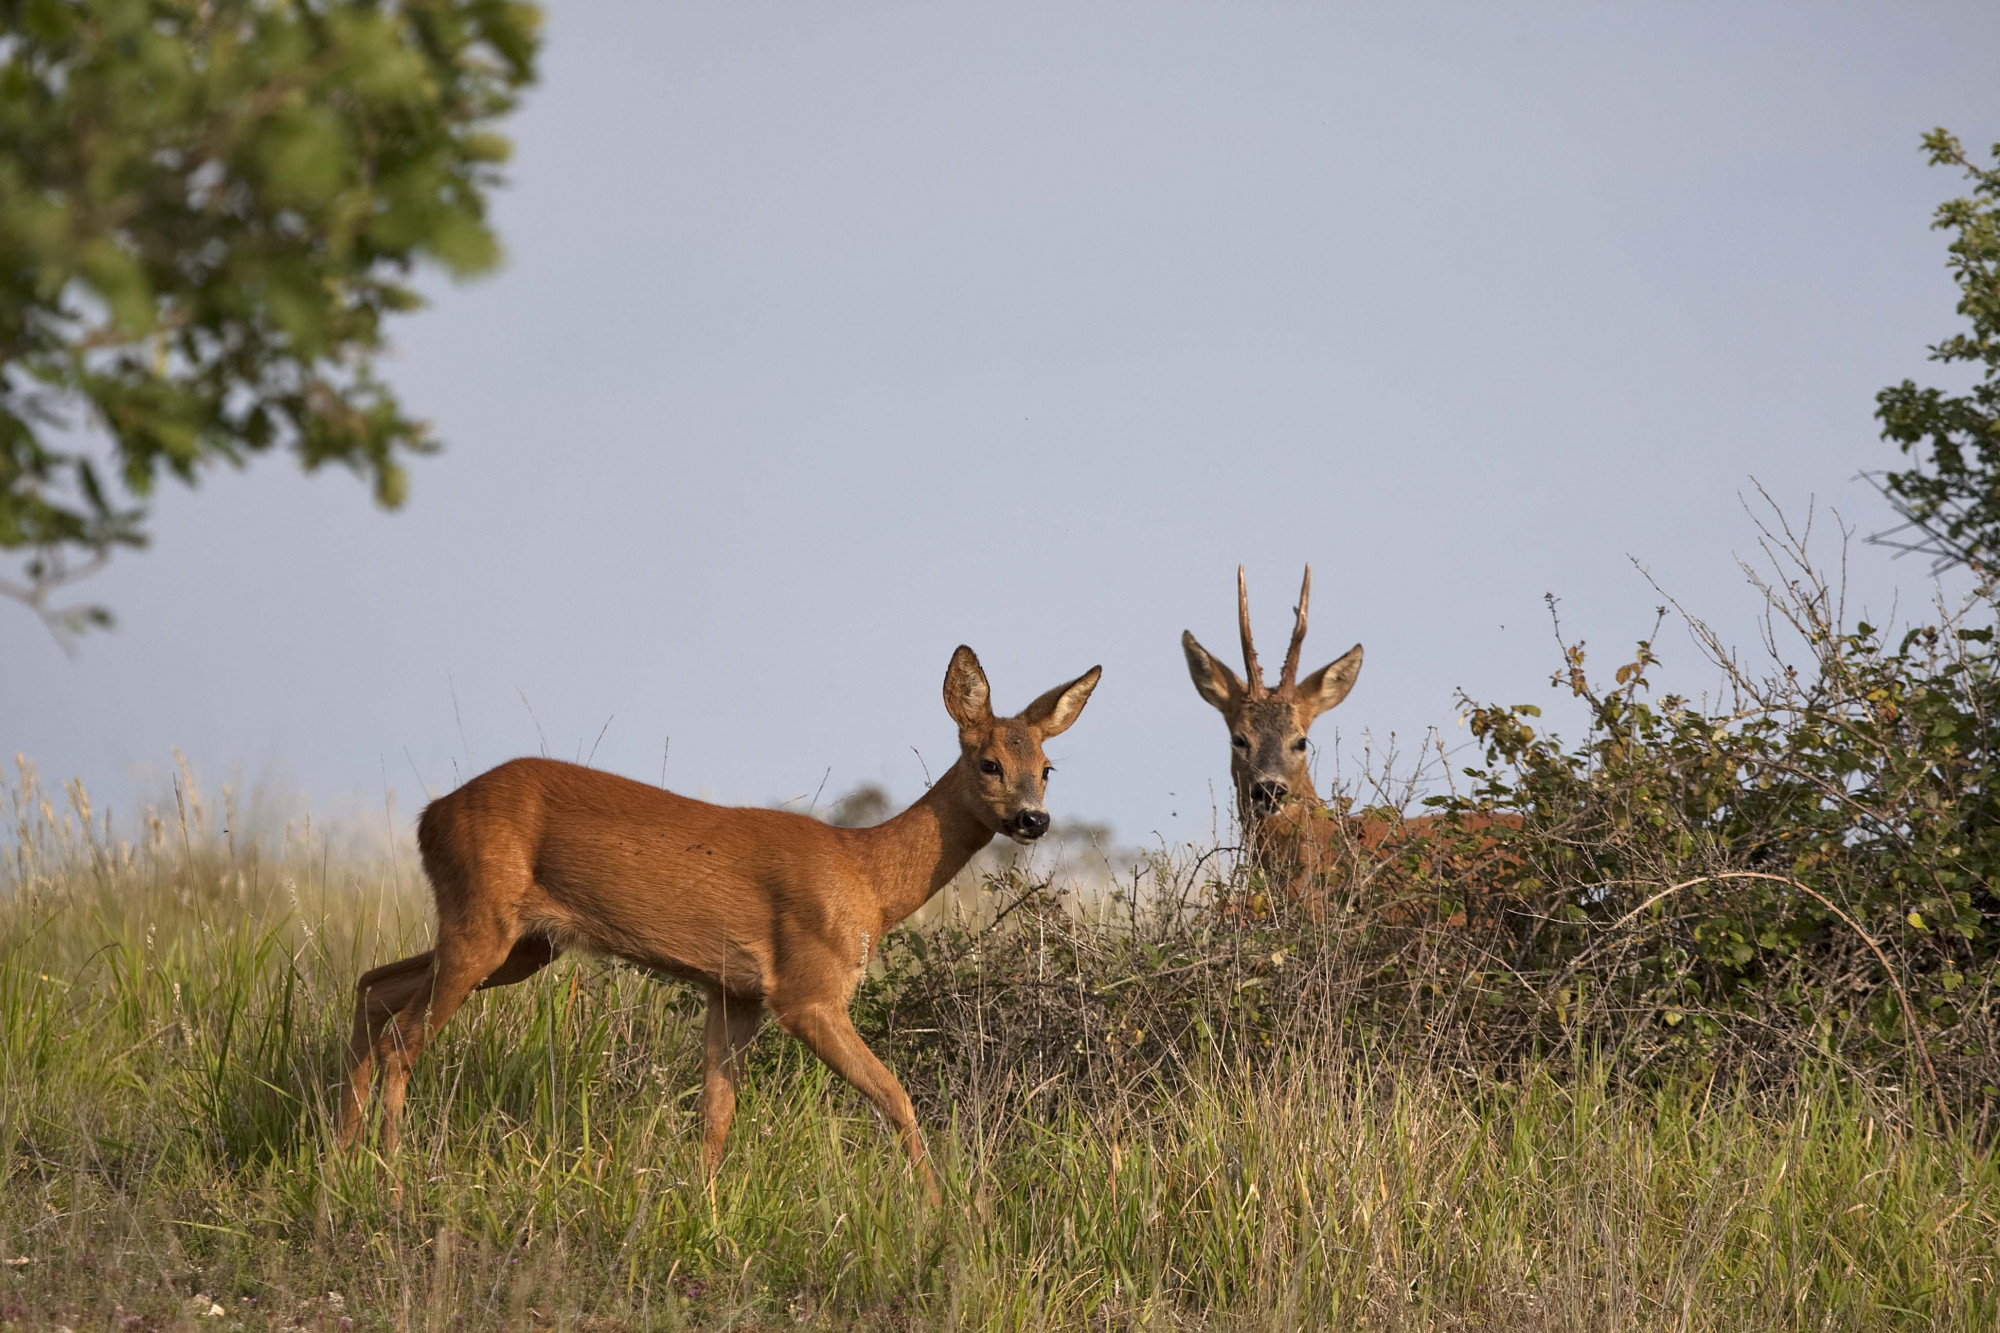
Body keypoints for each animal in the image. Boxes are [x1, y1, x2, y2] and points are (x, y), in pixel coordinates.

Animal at [336, 640, 1104, 1192]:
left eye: (1047, 767)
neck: (867, 876)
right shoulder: (808, 991)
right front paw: (943, 1213)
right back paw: (392, 1178)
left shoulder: (735, 992)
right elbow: (898, 1099)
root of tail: (428, 817)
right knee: (403, 1037)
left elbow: (716, 1116)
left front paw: (702, 1213)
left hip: (521, 941)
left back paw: (343, 1157)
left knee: (372, 986)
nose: (1033, 820)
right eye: (988, 761)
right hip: (483, 918)